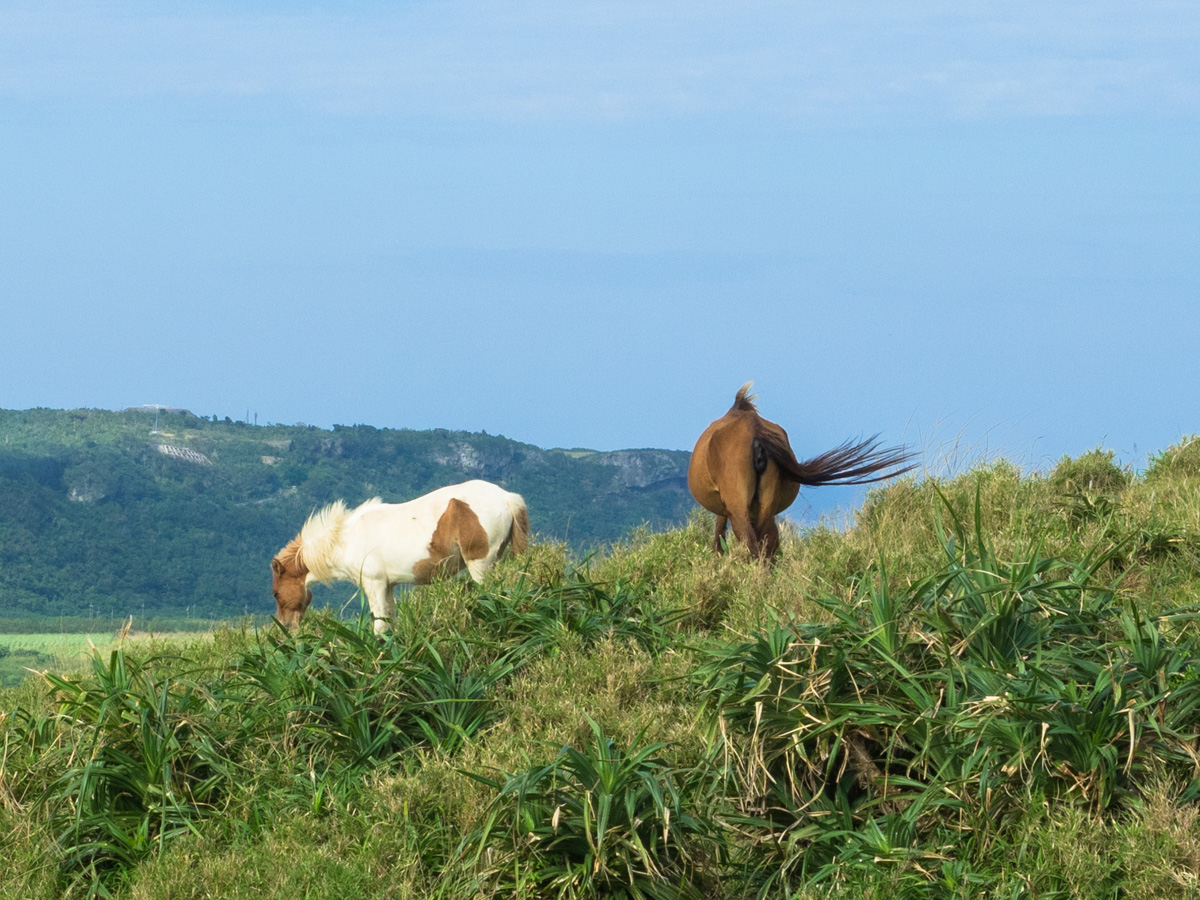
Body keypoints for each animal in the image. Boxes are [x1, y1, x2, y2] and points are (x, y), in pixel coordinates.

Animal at [278, 480, 532, 633]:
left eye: (276, 594)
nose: (286, 629)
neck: (345, 539)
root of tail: (507, 497)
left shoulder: (374, 584)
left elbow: (379, 624)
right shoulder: (388, 586)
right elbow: (389, 621)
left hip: (480, 565)